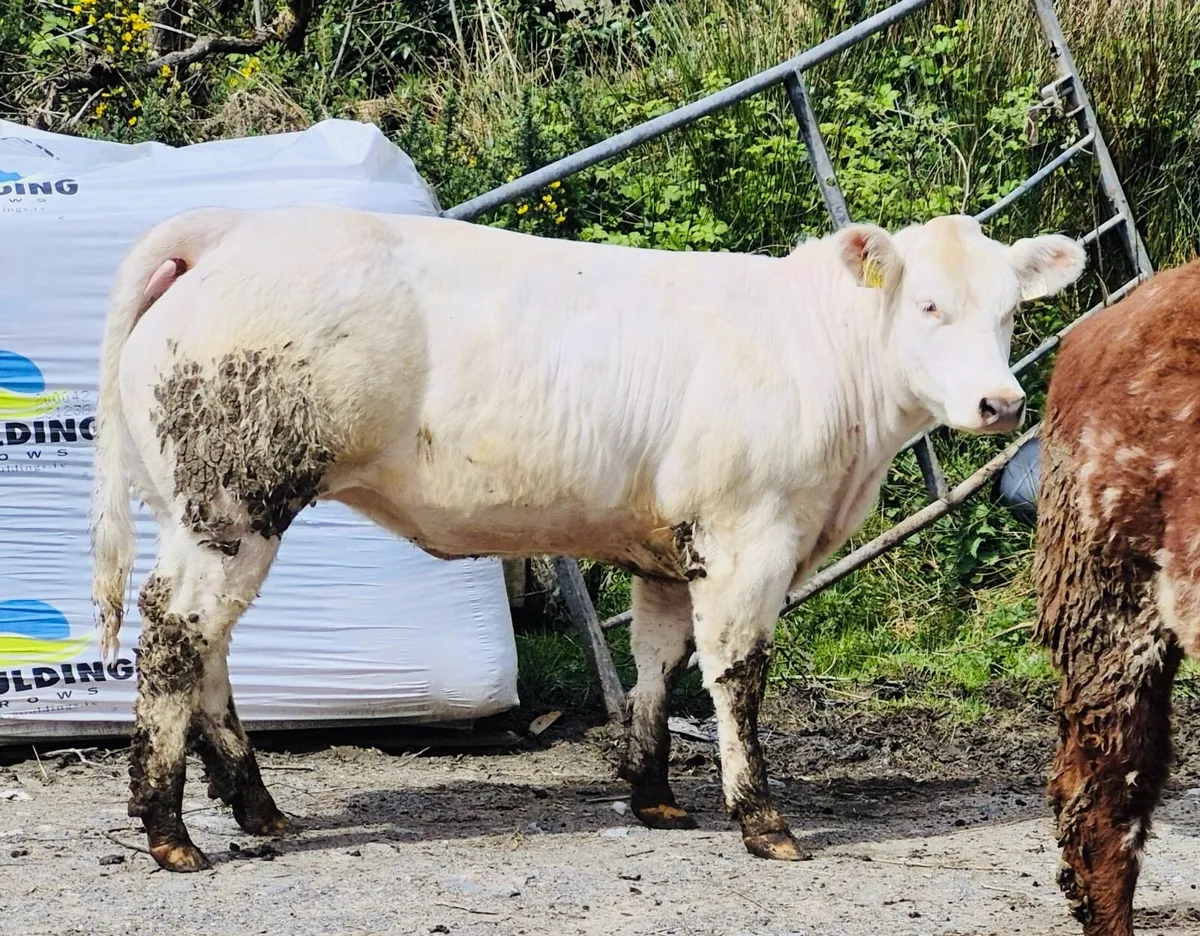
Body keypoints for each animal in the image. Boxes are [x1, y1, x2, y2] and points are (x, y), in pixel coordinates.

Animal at [89, 205, 1086, 872]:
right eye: (927, 308)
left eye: (1008, 311)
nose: (1000, 403)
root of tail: (233, 227)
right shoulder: (749, 535)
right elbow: (736, 675)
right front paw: (762, 821)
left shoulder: (671, 549)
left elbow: (657, 663)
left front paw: (655, 798)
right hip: (234, 501)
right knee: (174, 634)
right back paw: (170, 830)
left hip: (204, 512)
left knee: (208, 645)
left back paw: (257, 811)